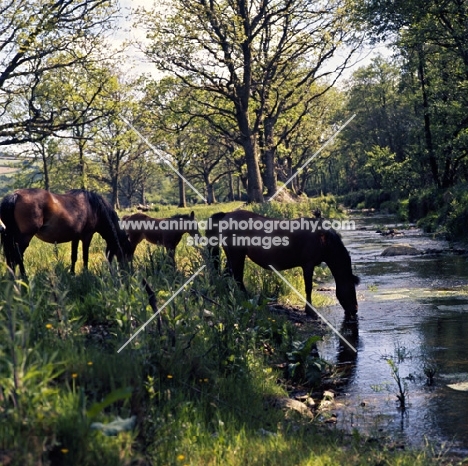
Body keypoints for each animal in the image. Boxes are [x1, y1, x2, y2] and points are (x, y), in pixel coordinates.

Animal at [207, 210, 360, 320]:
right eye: (351, 289)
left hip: (233, 256)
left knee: (228, 275)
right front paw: (310, 311)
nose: (355, 310)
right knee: (237, 277)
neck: (323, 239)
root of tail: (227, 215)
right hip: (237, 255)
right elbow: (308, 288)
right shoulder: (308, 264)